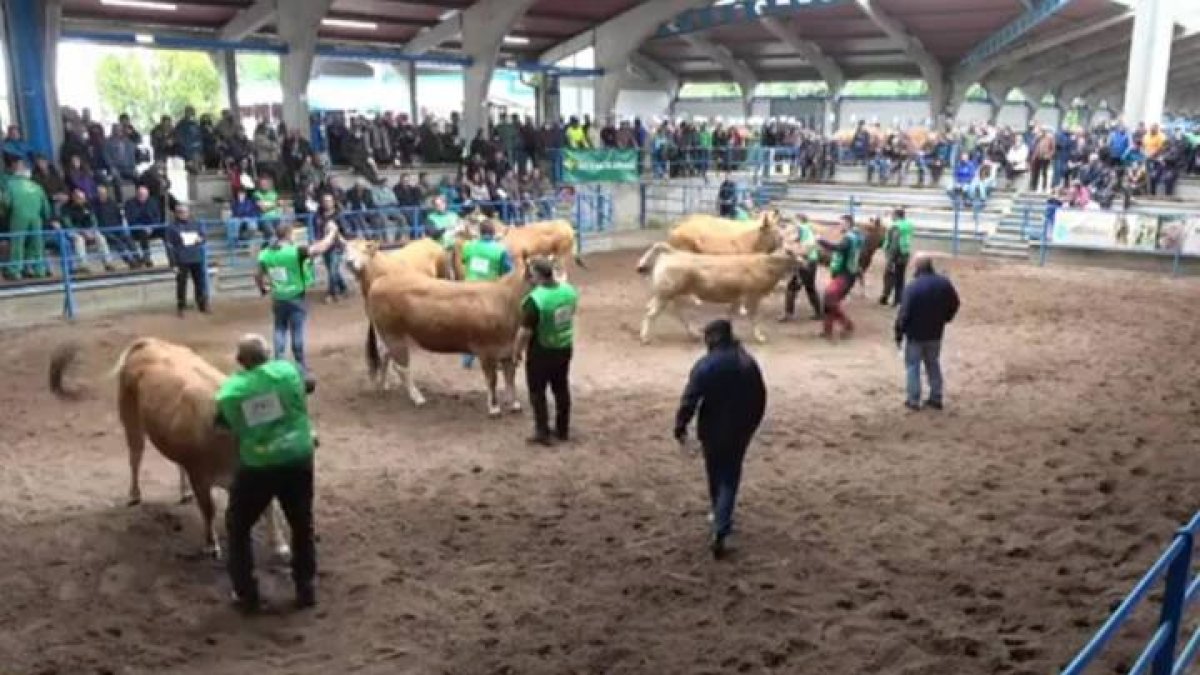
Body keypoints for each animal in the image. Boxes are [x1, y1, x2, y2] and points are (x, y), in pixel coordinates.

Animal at [47, 336, 292, 557]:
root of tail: (149, 343)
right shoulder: (200, 476)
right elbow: (209, 509)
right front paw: (211, 545)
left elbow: (269, 508)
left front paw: (279, 543)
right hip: (130, 419)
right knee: (135, 457)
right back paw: (134, 495)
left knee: (176, 464)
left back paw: (183, 492)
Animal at [343, 239, 530, 413]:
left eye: (364, 249)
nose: (349, 262)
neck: (503, 298)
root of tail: (379, 283)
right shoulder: (486, 350)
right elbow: (492, 380)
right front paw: (494, 407)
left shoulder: (507, 349)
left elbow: (510, 376)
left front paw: (514, 404)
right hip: (393, 335)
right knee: (401, 367)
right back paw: (417, 397)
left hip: (387, 335)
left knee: (384, 355)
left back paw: (382, 385)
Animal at [633, 242, 801, 343]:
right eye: (794, 252)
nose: (804, 261)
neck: (765, 265)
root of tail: (673, 252)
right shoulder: (752, 296)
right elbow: (753, 317)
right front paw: (760, 337)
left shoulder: (736, 297)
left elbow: (730, 315)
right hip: (665, 294)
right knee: (651, 314)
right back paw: (645, 337)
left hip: (671, 294)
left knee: (676, 312)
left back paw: (694, 334)